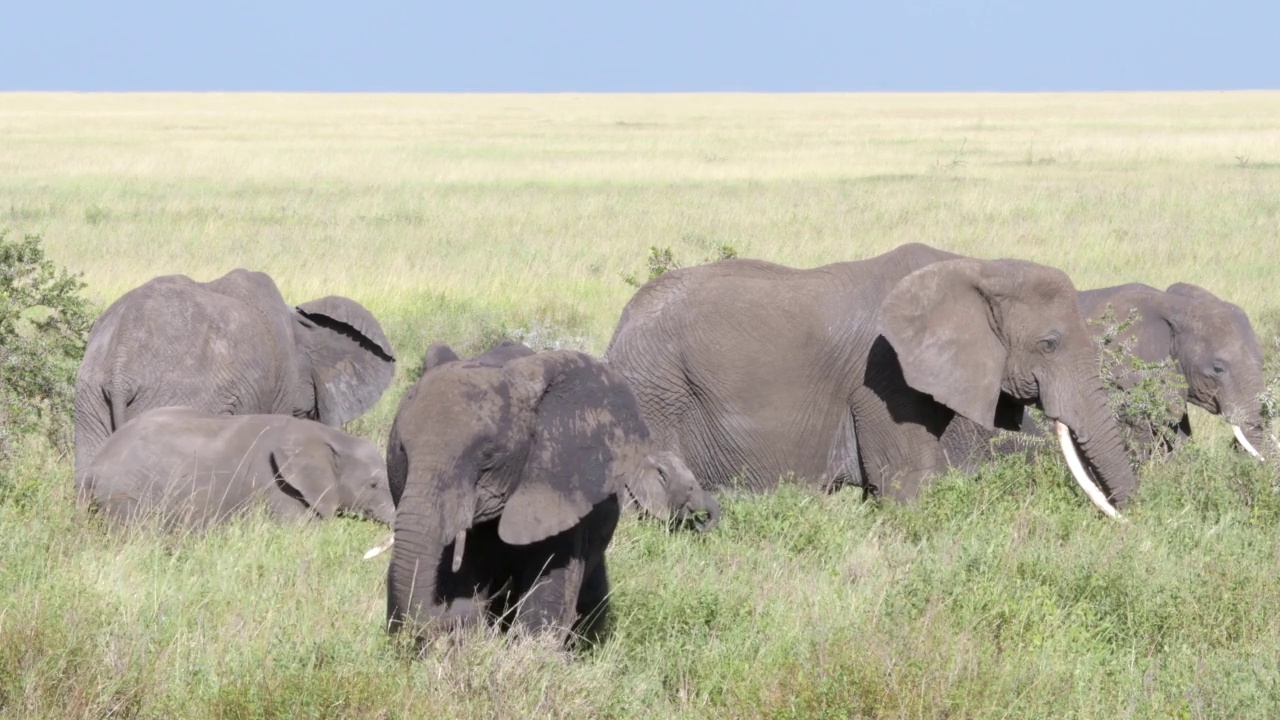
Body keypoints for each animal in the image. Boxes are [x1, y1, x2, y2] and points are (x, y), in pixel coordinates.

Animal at [606, 240, 1141, 515]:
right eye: (1049, 344)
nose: (1131, 521)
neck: (976, 266)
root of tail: (620, 325)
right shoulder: (884, 380)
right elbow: (908, 488)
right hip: (654, 393)